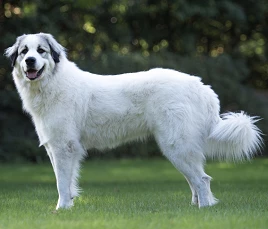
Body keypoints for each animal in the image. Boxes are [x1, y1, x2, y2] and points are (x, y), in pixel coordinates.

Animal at [5, 33, 262, 210]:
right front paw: (68, 206)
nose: (30, 61)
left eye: (41, 51)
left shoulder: (64, 148)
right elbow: (66, 183)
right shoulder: (56, 148)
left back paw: (205, 209)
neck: (52, 84)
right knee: (195, 180)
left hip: (176, 146)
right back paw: (195, 207)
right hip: (180, 149)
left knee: (202, 179)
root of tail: (201, 87)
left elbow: (61, 183)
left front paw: (61, 210)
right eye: (24, 51)